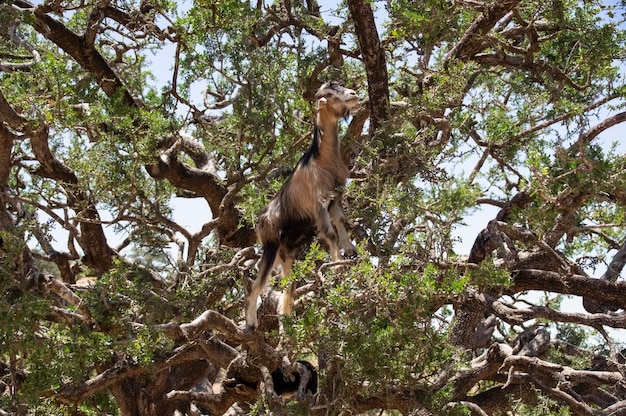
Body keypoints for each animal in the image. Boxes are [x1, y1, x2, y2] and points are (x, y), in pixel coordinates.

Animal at [245, 81, 358, 328]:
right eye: (330, 94)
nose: (354, 94)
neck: (320, 159)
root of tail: (260, 220)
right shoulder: (318, 202)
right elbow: (329, 232)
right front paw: (337, 263)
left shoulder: (334, 196)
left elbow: (340, 220)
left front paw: (350, 250)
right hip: (270, 246)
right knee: (258, 284)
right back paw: (251, 322)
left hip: (287, 254)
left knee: (288, 287)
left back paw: (287, 319)